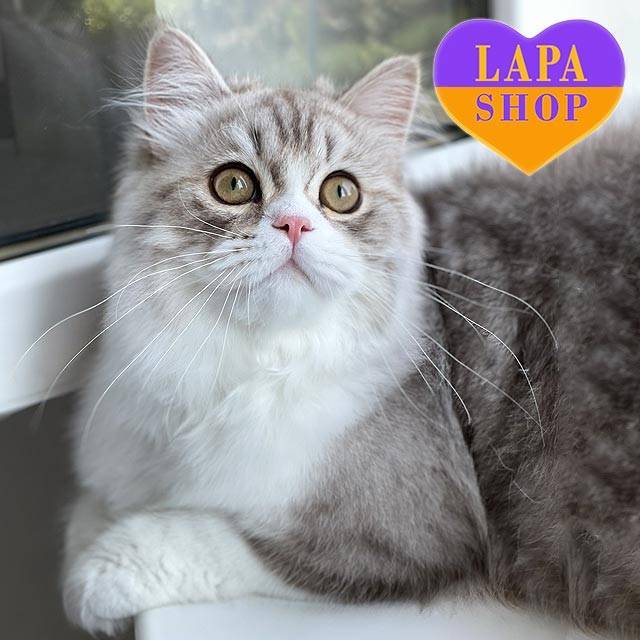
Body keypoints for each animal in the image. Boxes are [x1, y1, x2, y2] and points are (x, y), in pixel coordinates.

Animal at [61, 26, 640, 638]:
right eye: (234, 184)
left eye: (341, 193)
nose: (294, 225)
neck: (253, 362)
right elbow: (90, 507)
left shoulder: (410, 531)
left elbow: (208, 536)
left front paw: (98, 574)